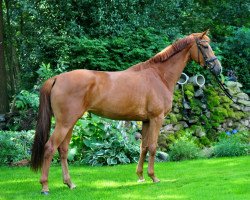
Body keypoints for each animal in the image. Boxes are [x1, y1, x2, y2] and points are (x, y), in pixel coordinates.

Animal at [30, 30, 221, 194]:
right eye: (204, 46)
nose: (218, 69)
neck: (159, 76)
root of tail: (57, 78)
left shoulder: (146, 120)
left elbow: (143, 147)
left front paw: (141, 177)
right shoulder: (157, 118)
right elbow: (153, 147)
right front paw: (154, 177)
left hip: (70, 122)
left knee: (63, 150)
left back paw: (70, 183)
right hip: (65, 123)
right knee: (50, 147)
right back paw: (45, 186)